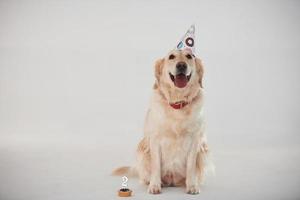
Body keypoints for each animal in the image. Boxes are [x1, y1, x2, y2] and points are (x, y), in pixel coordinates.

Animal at [113, 49, 211, 195]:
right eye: (171, 57)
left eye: (189, 56)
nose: (181, 65)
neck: (177, 103)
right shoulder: (155, 139)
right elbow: (156, 166)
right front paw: (154, 186)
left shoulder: (195, 139)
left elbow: (190, 166)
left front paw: (192, 186)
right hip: (142, 151)